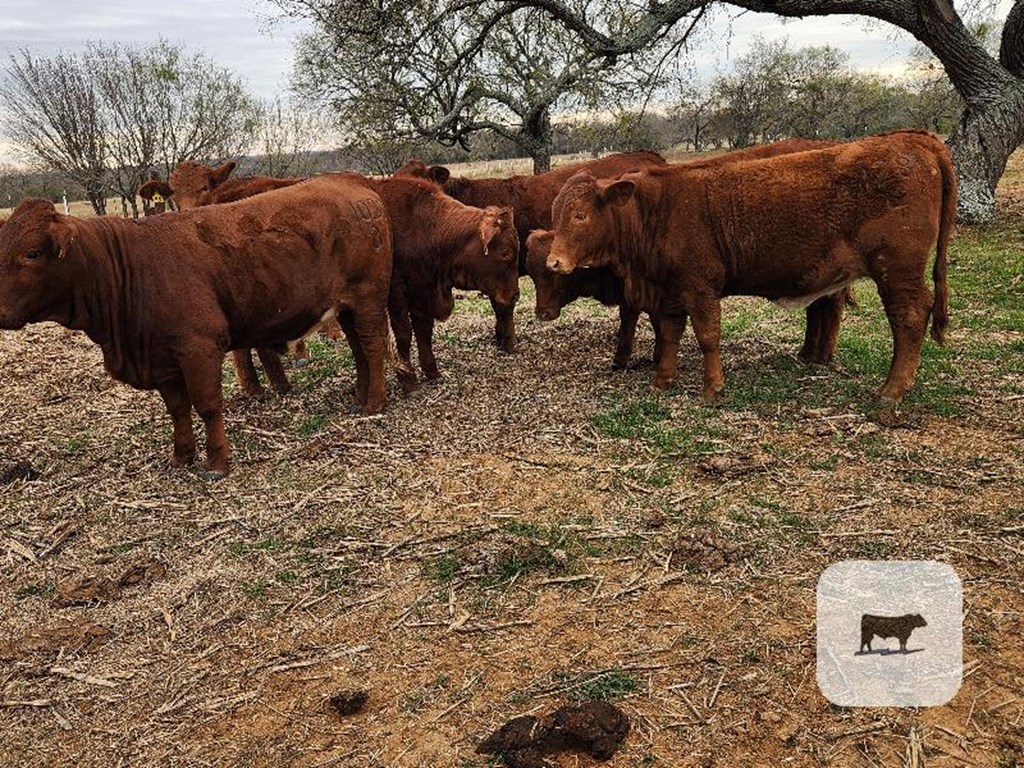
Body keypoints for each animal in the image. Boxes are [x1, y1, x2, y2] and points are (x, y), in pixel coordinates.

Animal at [0, 178, 391, 481]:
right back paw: (360, 397)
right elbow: (178, 409)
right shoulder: (162, 359)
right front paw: (181, 457)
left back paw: (375, 402)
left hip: (368, 298)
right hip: (345, 308)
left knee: (373, 346)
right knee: (358, 348)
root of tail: (351, 183)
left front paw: (216, 462)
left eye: (32, 253)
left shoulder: (198, 347)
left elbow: (206, 405)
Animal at [548, 130, 954, 403]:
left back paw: (891, 391)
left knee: (910, 317)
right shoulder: (671, 291)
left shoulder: (701, 288)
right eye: (555, 213)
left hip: (897, 271)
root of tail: (913, 139)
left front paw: (712, 388)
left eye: (581, 215)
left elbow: (707, 337)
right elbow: (670, 335)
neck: (656, 211)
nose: (554, 261)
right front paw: (663, 380)